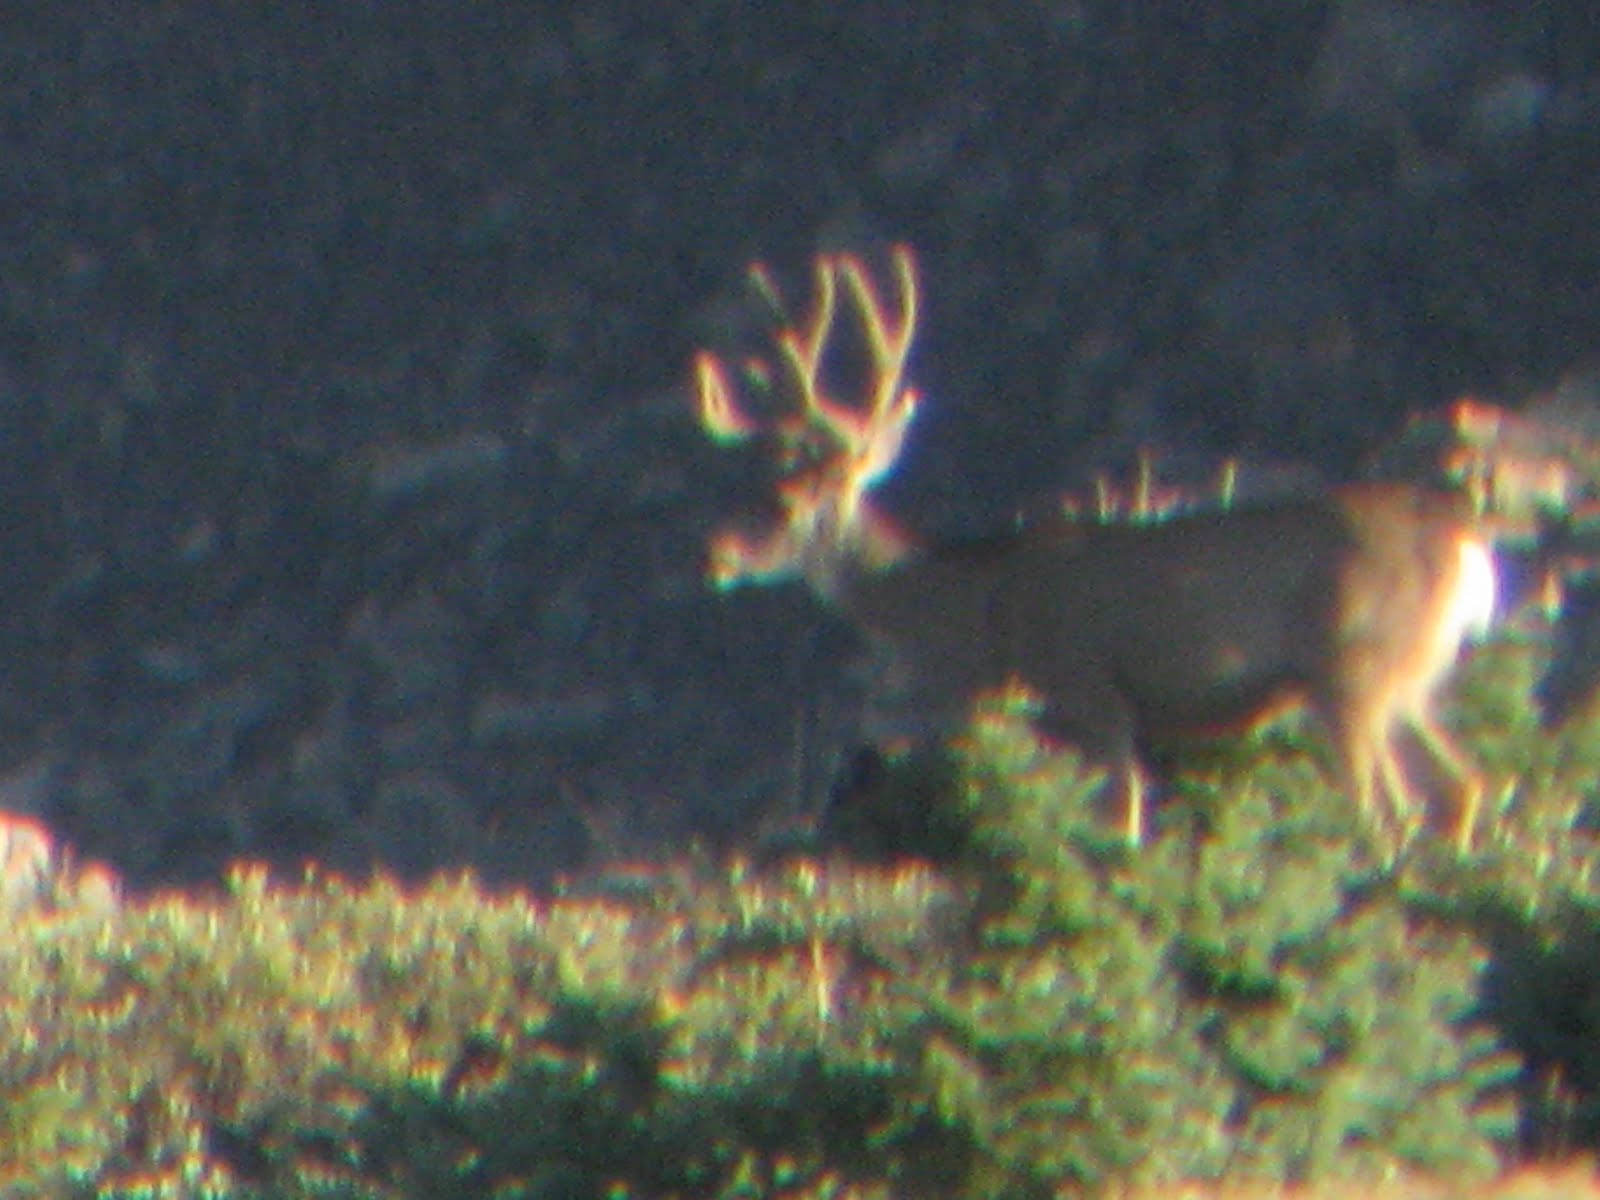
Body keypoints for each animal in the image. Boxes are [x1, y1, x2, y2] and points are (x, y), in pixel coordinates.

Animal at [694, 245, 1498, 850]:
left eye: (785, 501)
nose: (717, 553)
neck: (983, 611)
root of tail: (1464, 542)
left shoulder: (1091, 695)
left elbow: (1122, 824)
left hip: (1352, 674)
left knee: (1385, 810)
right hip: (1408, 678)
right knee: (1463, 786)